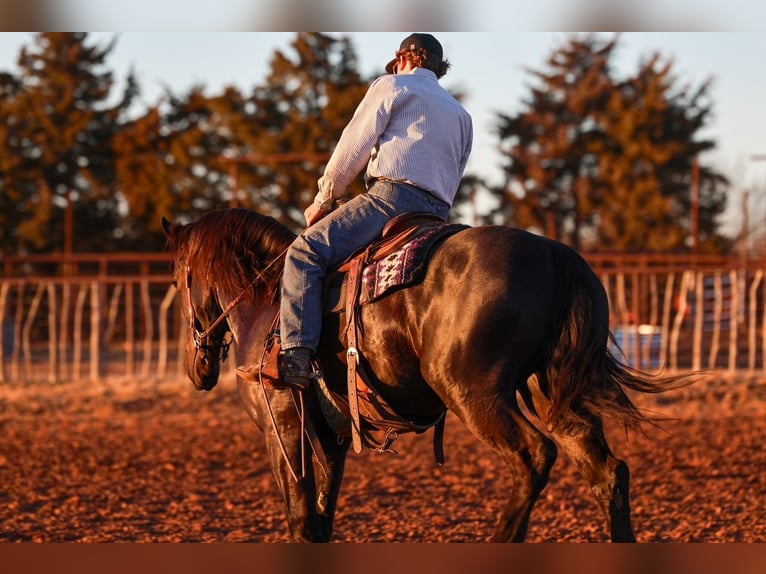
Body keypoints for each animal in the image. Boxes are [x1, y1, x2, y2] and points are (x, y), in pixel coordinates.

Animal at [162, 207, 683, 543]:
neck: (266, 299)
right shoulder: (332, 437)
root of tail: (554, 252)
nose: (196, 369)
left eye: (177, 279)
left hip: (473, 394)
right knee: (606, 470)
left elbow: (300, 517)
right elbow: (321, 520)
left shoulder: (284, 430)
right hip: (550, 393)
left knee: (535, 457)